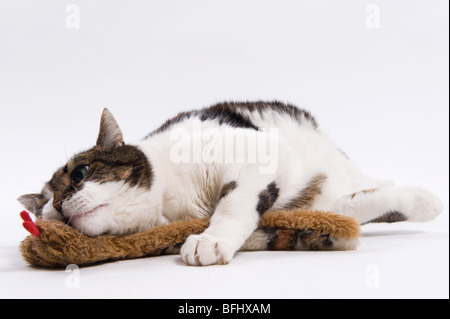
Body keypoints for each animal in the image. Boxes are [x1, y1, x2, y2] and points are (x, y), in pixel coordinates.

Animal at [18, 101, 442, 266]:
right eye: (43, 208)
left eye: (80, 173)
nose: (57, 206)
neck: (173, 199)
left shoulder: (256, 152)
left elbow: (235, 202)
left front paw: (210, 240)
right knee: (357, 200)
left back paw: (428, 200)